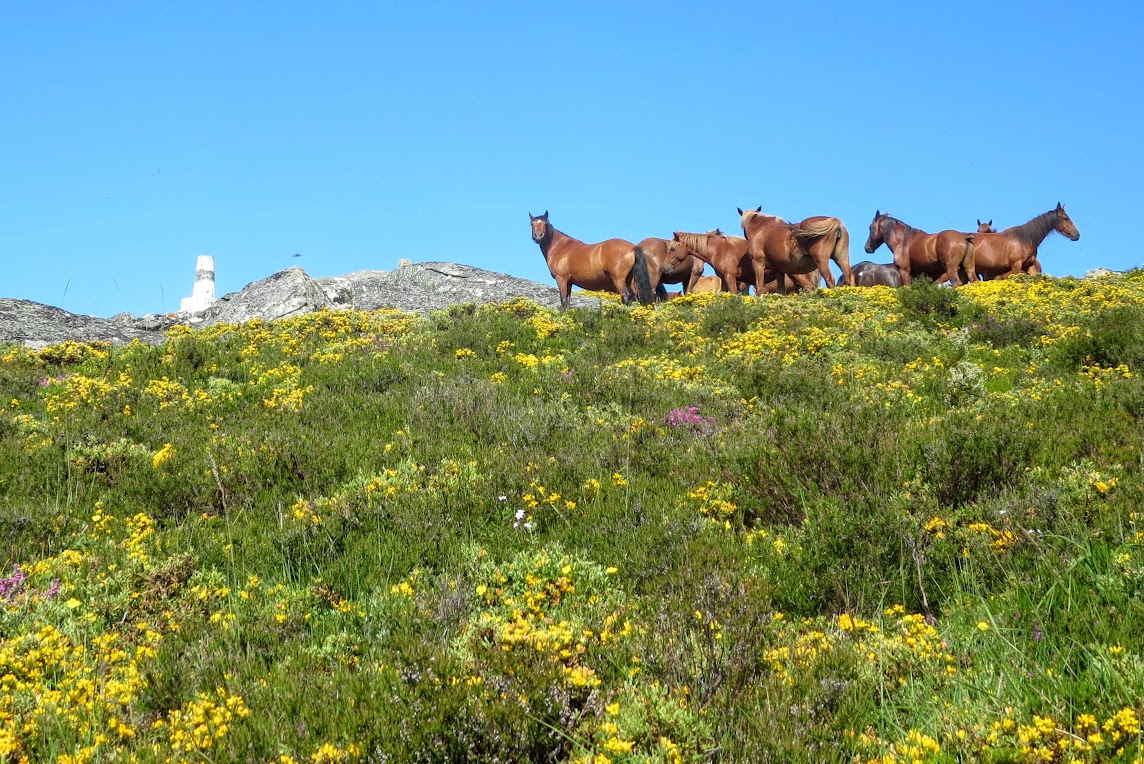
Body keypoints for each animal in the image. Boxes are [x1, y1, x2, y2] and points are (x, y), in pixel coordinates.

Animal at [526, 211, 654, 306]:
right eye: (532, 224)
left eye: (545, 224)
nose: (538, 236)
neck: (560, 246)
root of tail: (633, 248)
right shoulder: (569, 282)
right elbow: (567, 302)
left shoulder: (561, 279)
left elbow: (563, 301)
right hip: (630, 280)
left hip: (619, 280)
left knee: (626, 297)